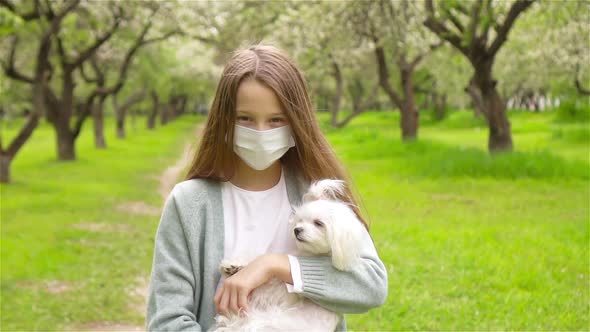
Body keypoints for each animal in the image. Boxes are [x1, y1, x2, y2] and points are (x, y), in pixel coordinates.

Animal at [213, 180, 368, 330]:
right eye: (299, 220)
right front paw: (233, 265)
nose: (297, 230)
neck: (309, 254)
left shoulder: (288, 293)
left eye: (319, 223)